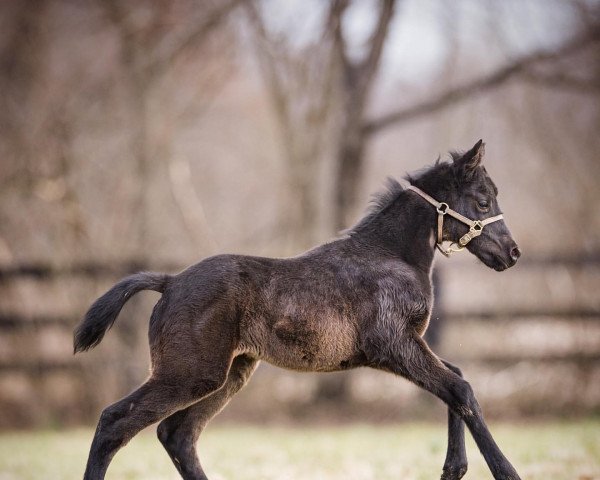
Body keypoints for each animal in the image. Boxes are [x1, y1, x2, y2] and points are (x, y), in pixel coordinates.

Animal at [75, 140, 524, 480]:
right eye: (483, 201)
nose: (513, 253)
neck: (390, 255)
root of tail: (169, 283)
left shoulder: (402, 347)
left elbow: (457, 378)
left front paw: (453, 468)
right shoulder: (394, 344)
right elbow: (460, 388)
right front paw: (505, 472)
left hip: (228, 374)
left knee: (177, 435)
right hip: (190, 373)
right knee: (115, 422)